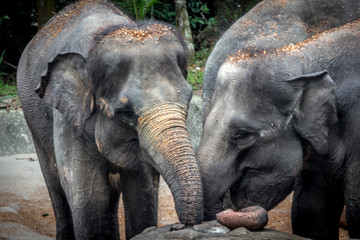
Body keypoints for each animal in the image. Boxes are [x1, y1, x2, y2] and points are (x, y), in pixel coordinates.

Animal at [16, 0, 202, 239]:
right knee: (55, 183)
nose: (182, 226)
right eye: (127, 112)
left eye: (188, 99)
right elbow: (90, 198)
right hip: (32, 120)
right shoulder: (69, 120)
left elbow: (141, 192)